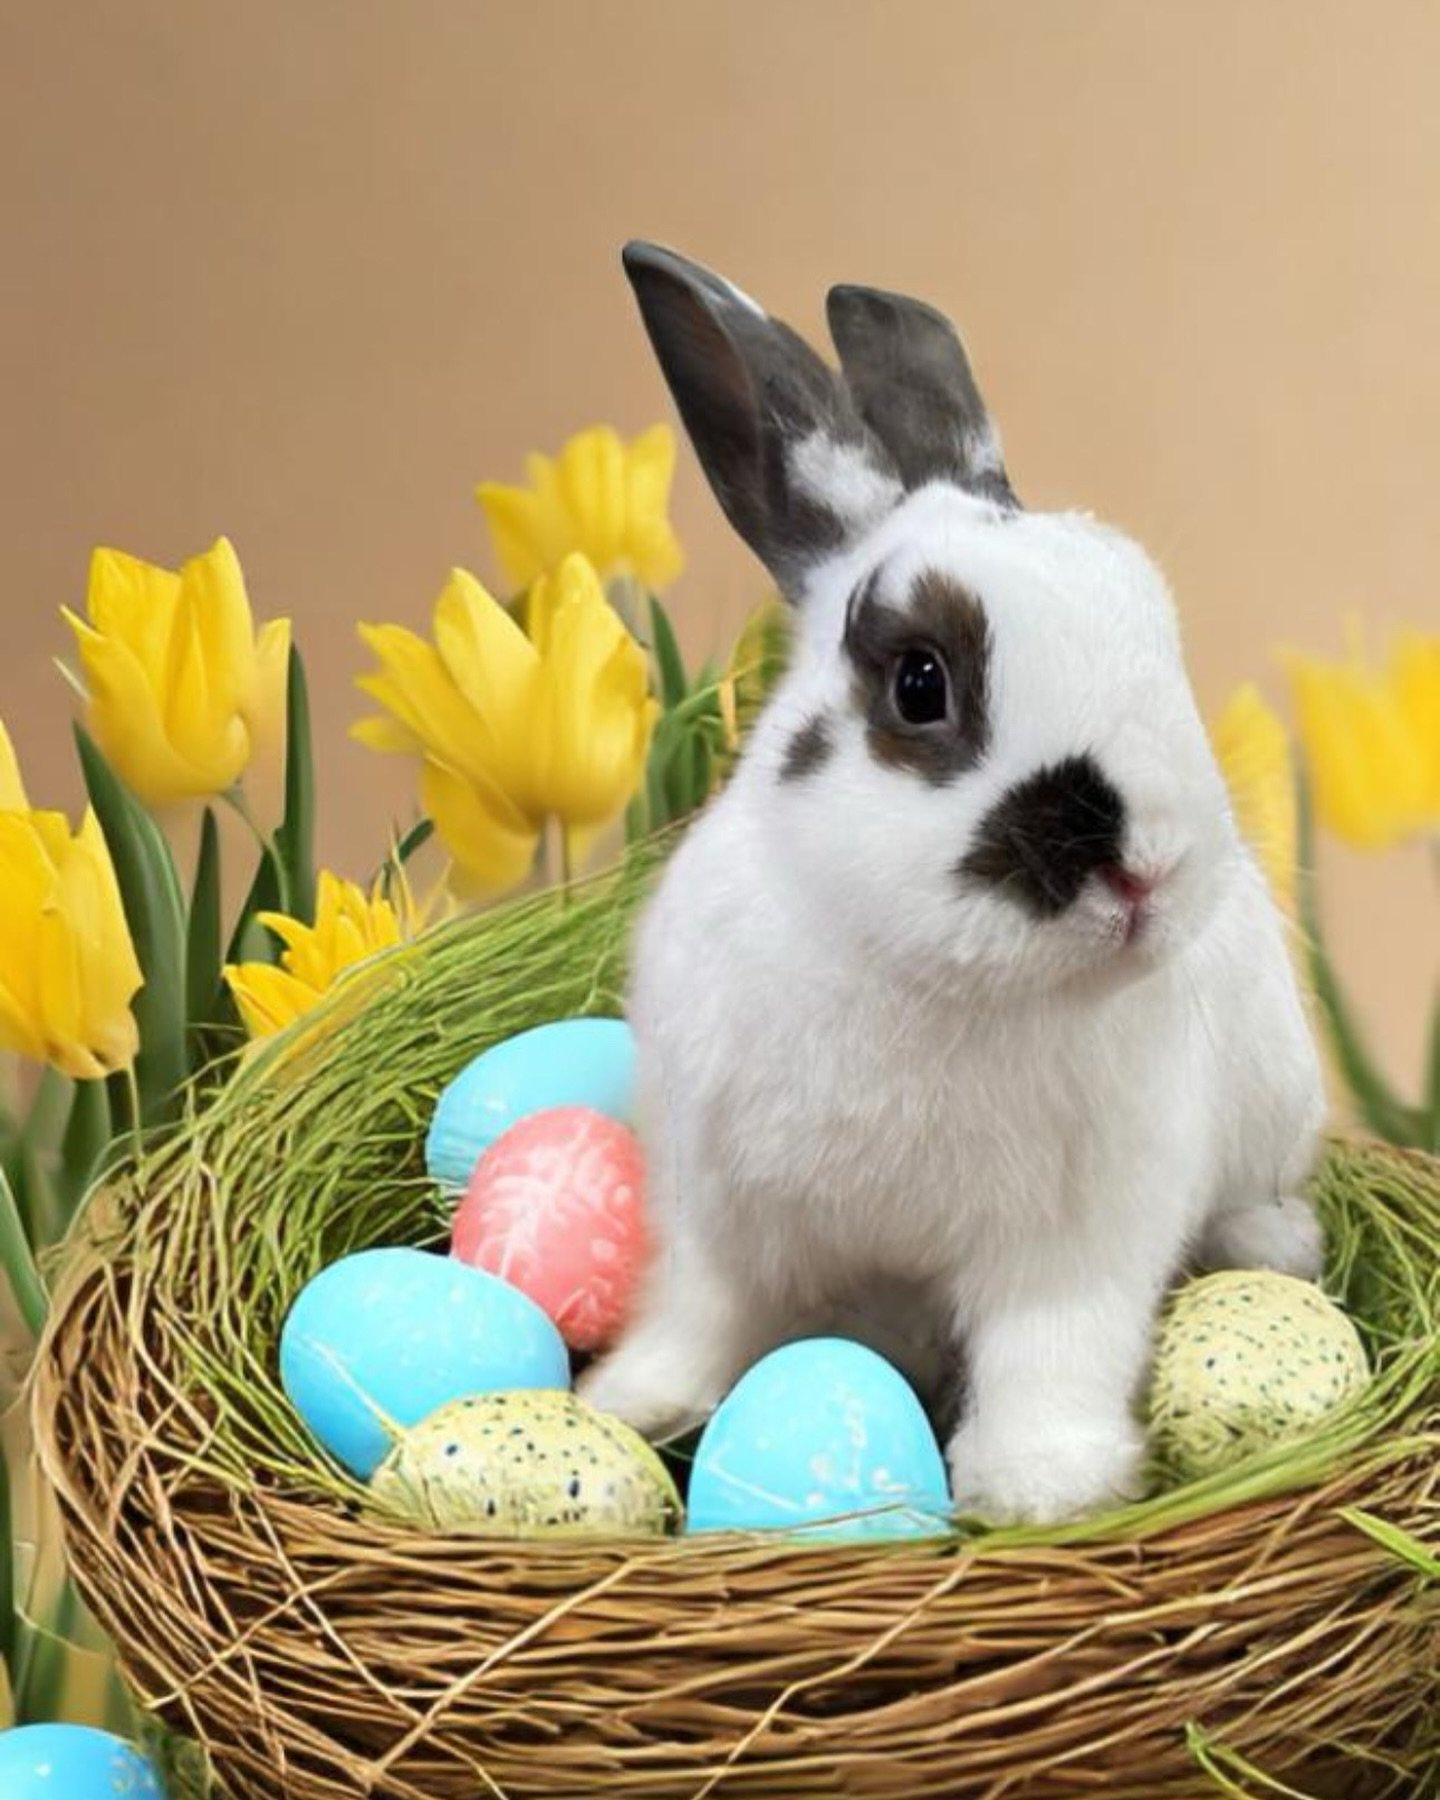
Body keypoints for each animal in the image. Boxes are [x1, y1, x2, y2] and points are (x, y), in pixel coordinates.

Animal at [578, 242, 1326, 1525]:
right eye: (920, 682)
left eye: (1162, 638)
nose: (1147, 869)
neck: (918, 975)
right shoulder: (710, 1195)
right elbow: (700, 1310)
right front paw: (634, 1403)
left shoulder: (1080, 1236)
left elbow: (1051, 1350)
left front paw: (1039, 1485)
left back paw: (1277, 1248)